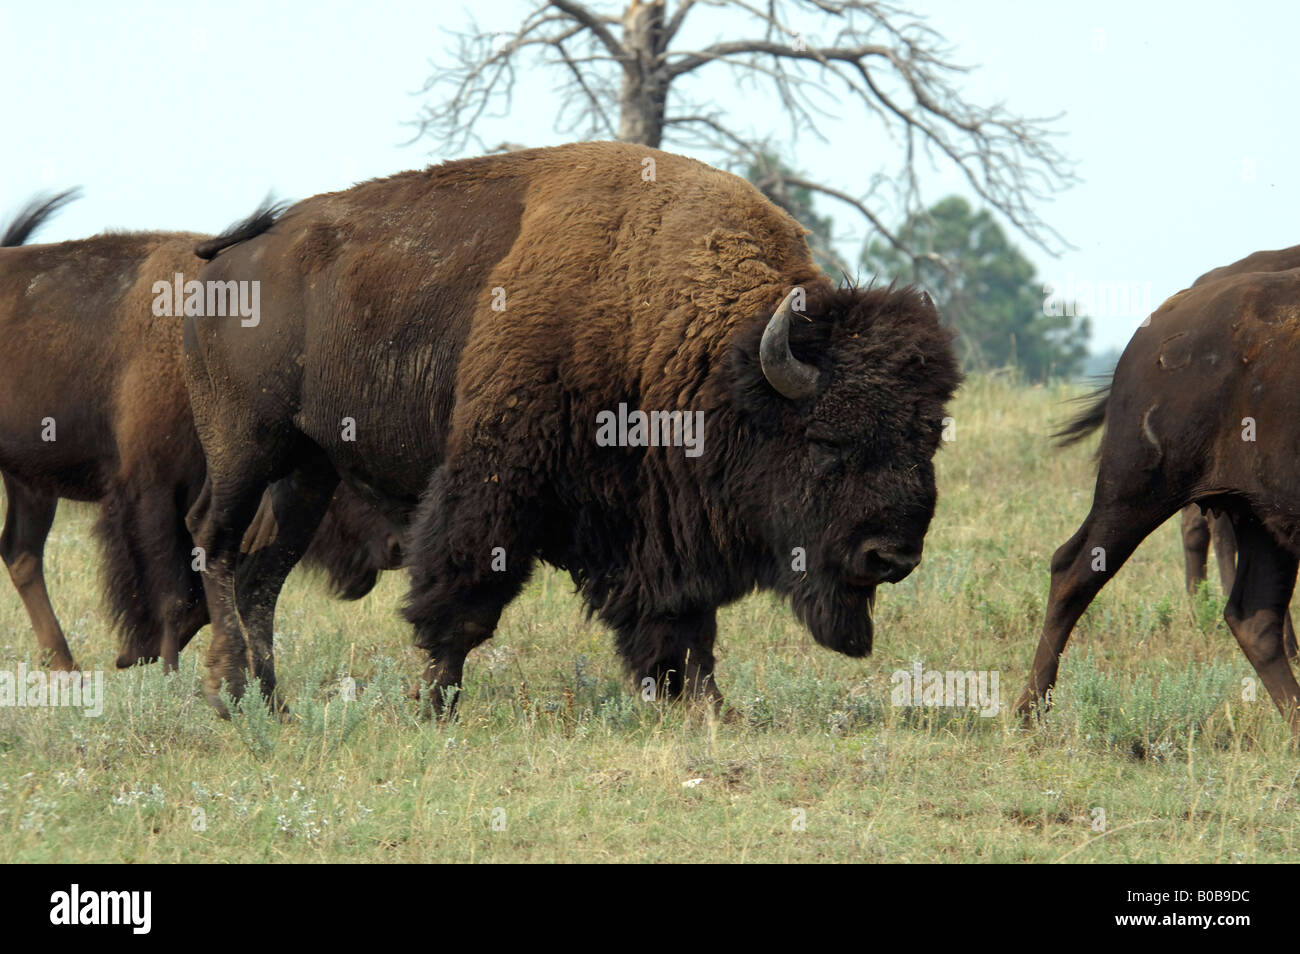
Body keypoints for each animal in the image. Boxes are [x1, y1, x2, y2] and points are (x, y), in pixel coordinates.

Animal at [0, 193, 398, 674]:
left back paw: (65, 665)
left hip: (29, 482)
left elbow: (201, 597)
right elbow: (172, 595)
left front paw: (137, 654)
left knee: (21, 553)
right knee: (23, 553)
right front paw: (158, 667)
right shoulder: (152, 490)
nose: (396, 547)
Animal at [182, 141, 961, 715]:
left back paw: (271, 704)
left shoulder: (659, 522)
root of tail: (226, 258)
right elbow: (463, 596)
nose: (891, 556)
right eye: (828, 443)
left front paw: (708, 709)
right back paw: (227, 694)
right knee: (214, 542)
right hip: (247, 447)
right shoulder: (495, 479)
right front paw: (433, 705)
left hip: (307, 470)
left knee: (262, 574)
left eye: (927, 440)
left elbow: (683, 621)